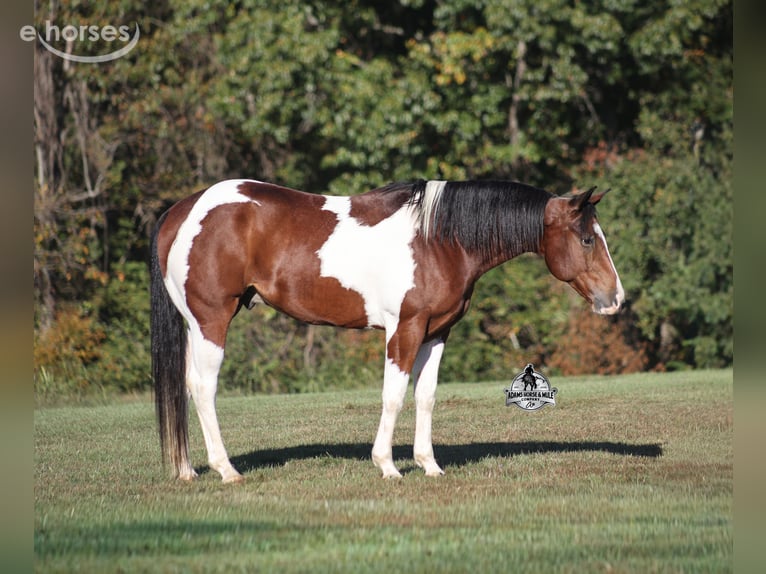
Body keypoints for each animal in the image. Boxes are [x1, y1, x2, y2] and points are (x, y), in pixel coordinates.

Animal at [150, 179, 624, 482]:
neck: (439, 239)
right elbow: (394, 396)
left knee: (187, 386)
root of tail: (182, 211)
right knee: (204, 387)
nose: (615, 298)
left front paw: (429, 465)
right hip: (212, 320)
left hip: (195, 326)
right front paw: (388, 466)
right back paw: (226, 470)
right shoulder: (405, 329)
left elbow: (425, 397)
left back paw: (188, 470)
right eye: (587, 239)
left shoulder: (436, 332)